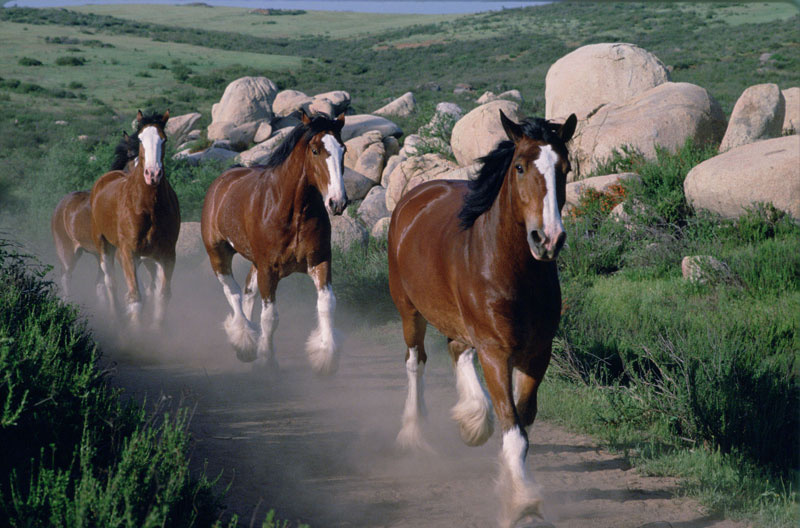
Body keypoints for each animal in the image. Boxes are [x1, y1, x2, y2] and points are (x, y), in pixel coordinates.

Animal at [50, 129, 145, 302]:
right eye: (130, 156)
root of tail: (60, 206)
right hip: (67, 253)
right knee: (67, 280)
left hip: (97, 254)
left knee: (99, 284)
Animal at [90, 109, 180, 328]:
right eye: (140, 139)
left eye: (164, 140)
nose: (153, 174)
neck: (148, 208)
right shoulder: (128, 253)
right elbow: (135, 297)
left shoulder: (167, 255)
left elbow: (161, 295)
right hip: (104, 246)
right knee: (110, 282)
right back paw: (115, 318)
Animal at [200, 112, 346, 372]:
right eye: (315, 150)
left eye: (343, 150)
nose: (337, 202)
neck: (293, 211)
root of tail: (221, 182)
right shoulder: (269, 269)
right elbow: (270, 318)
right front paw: (267, 360)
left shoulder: (319, 261)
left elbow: (327, 304)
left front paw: (325, 357)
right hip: (218, 255)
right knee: (233, 293)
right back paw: (244, 341)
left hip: (255, 263)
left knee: (247, 291)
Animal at [388, 109, 576, 524]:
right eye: (520, 167)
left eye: (565, 168)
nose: (548, 239)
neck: (511, 269)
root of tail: (417, 195)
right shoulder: (495, 351)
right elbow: (513, 426)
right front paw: (522, 503)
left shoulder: (537, 353)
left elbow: (522, 420)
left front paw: (511, 482)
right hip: (409, 310)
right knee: (415, 362)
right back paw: (414, 434)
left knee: (457, 350)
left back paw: (472, 420)